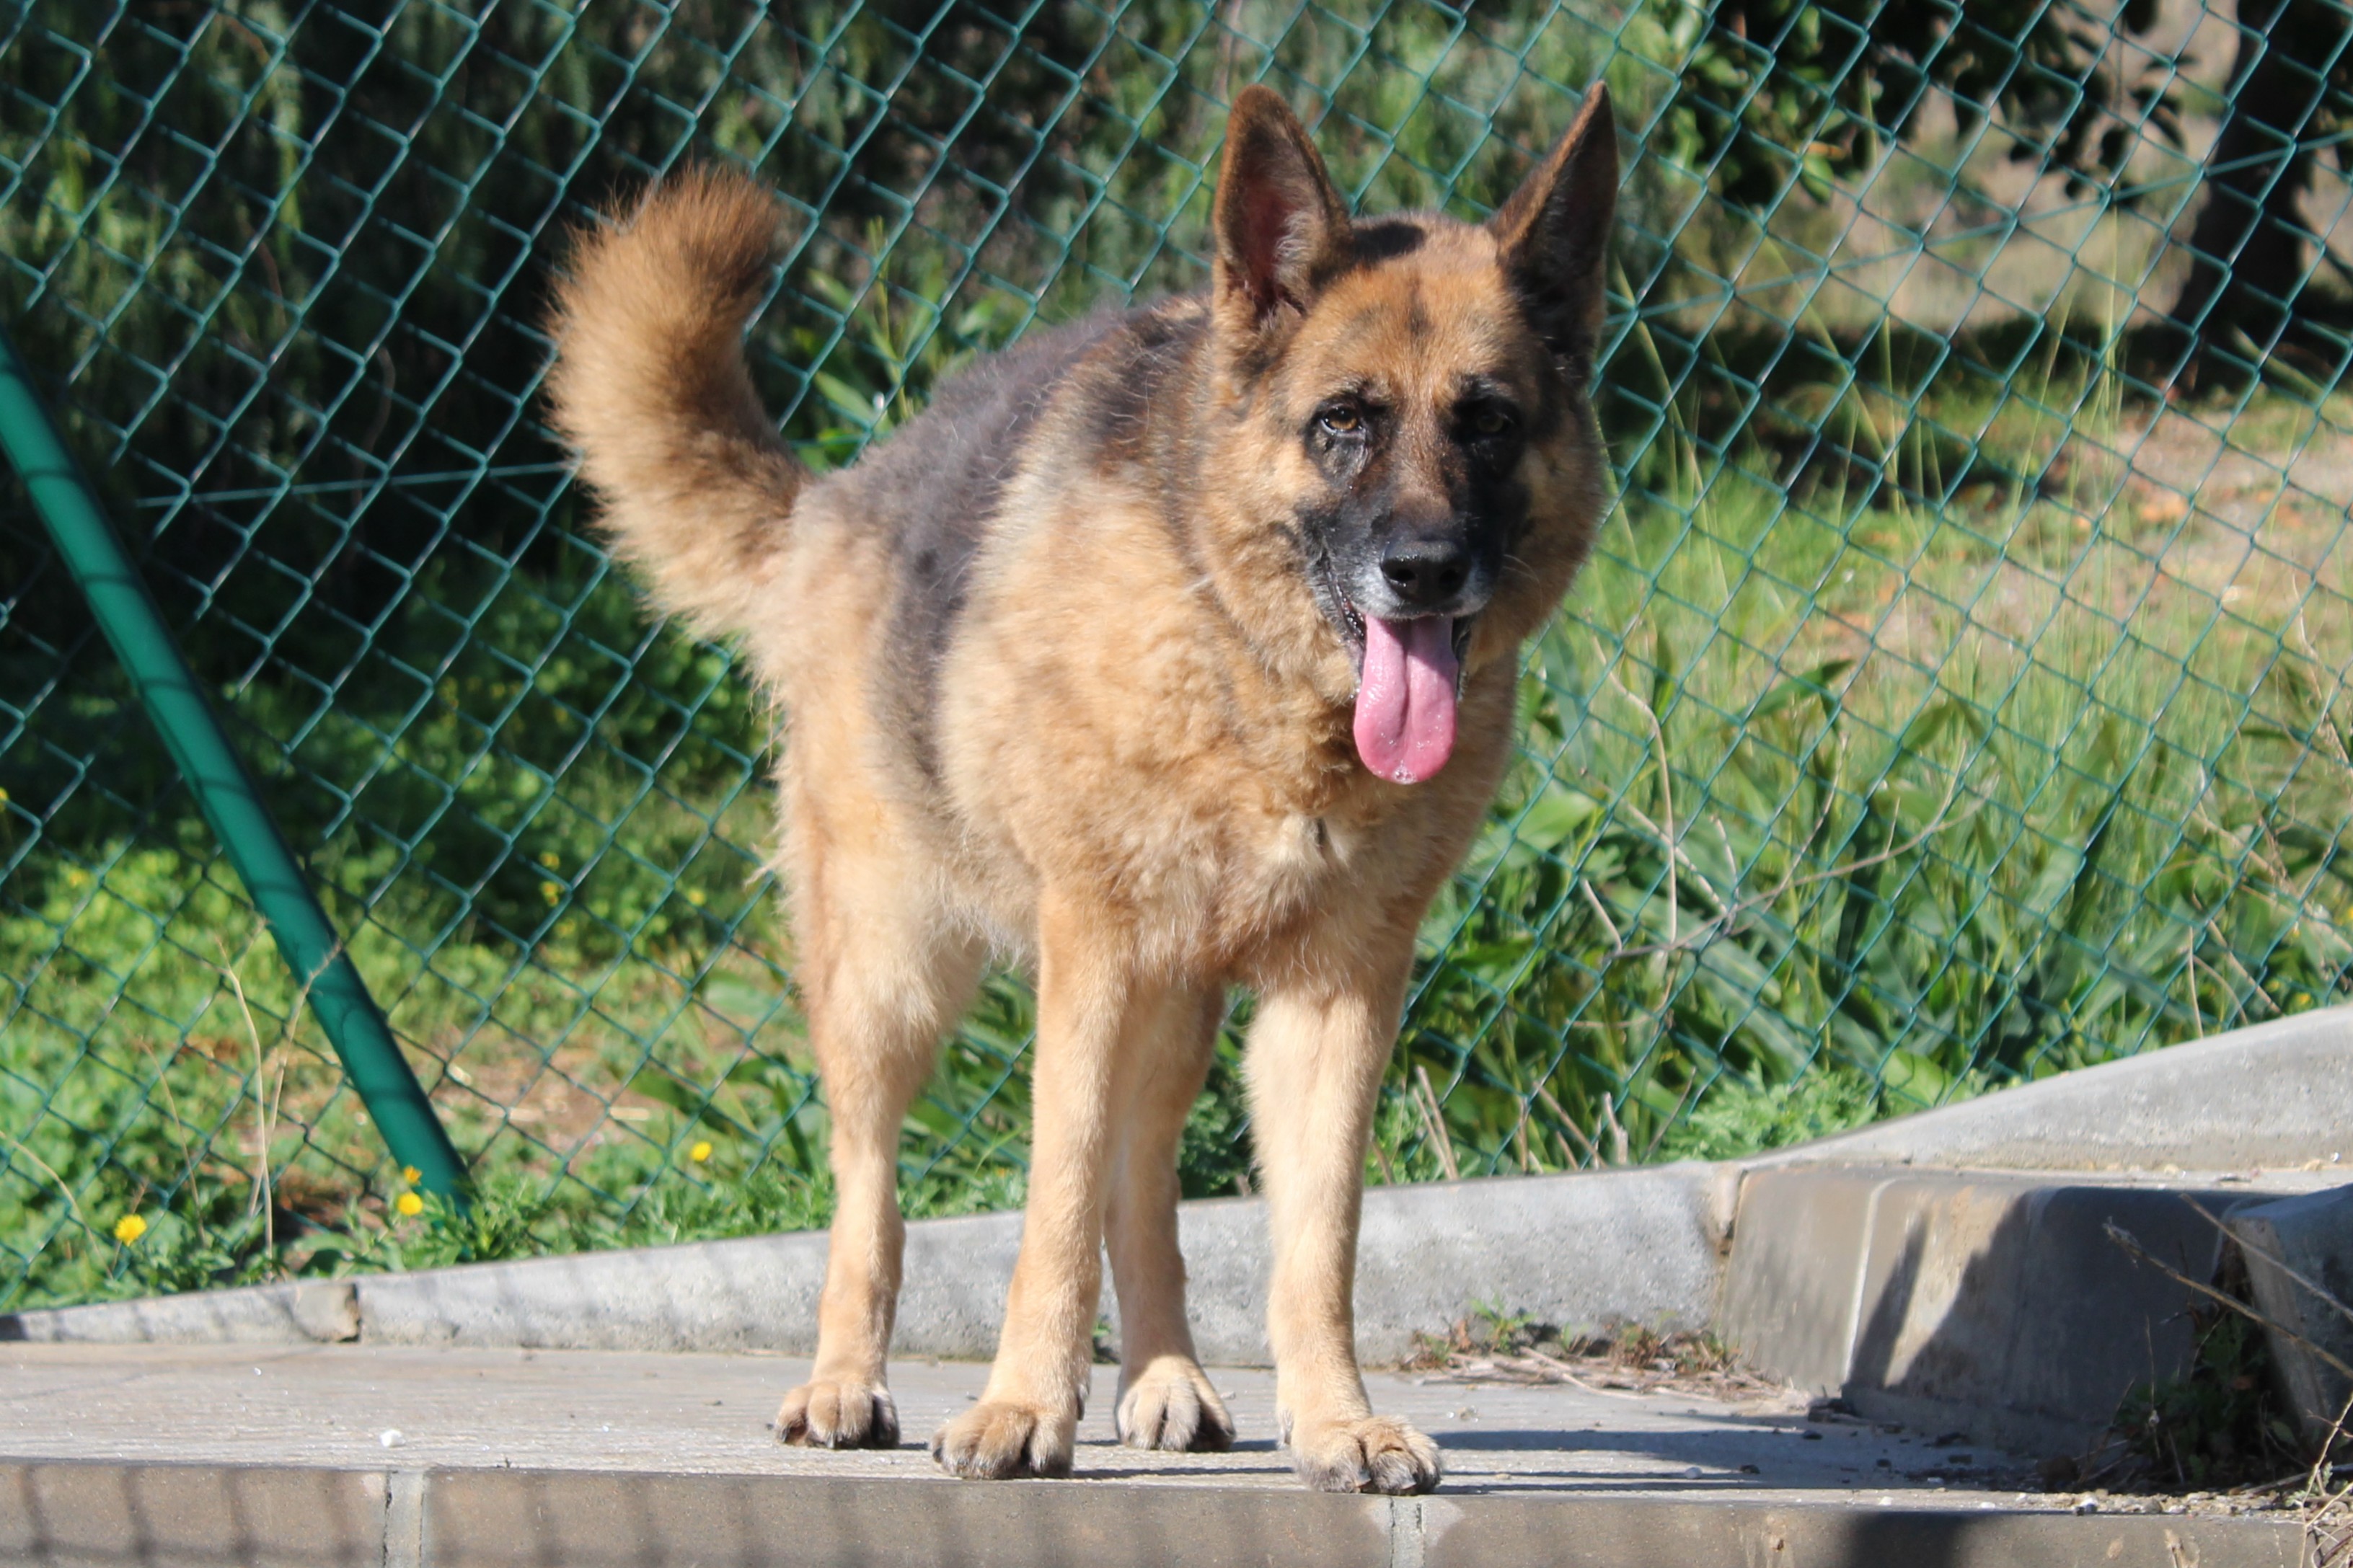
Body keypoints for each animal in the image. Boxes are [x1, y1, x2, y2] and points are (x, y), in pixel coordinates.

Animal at [550, 82, 1618, 1494]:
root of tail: (833, 501)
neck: (1250, 675)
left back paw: (1164, 1378)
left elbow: (1313, 1239)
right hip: (894, 979)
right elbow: (1048, 1206)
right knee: (872, 1187)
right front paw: (1018, 1409)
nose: (1425, 570)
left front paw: (1335, 1419)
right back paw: (845, 1382)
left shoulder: (1338, 994)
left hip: (1171, 1002)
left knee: (1141, 1180)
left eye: (1487, 421)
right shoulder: (1090, 956)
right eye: (1343, 422)